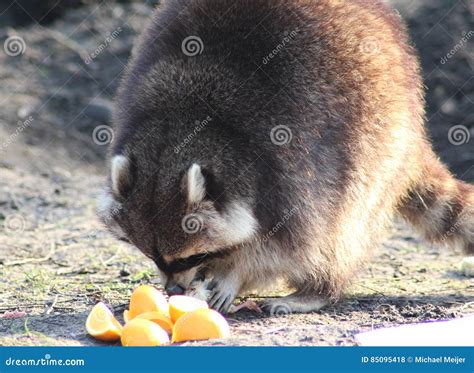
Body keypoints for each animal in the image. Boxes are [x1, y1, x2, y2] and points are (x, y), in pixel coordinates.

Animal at [97, 0, 474, 314]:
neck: (184, 120)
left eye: (196, 254)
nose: (174, 290)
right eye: (152, 255)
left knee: (342, 223)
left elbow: (285, 244)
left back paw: (319, 289)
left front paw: (235, 273)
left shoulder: (291, 168)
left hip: (376, 133)